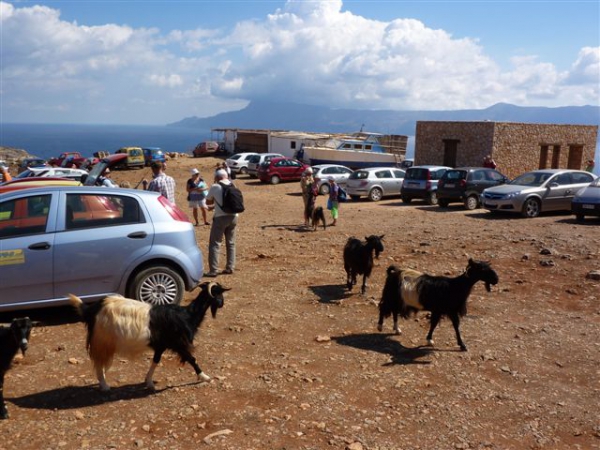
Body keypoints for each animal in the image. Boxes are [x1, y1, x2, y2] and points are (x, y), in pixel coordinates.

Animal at [69, 282, 230, 390]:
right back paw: (104, 385)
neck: (187, 315)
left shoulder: (161, 345)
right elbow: (192, 359)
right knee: (99, 364)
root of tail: (91, 309)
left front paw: (149, 382)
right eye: (219, 293)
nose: (222, 304)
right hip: (102, 341)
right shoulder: (178, 343)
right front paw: (205, 377)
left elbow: (155, 361)